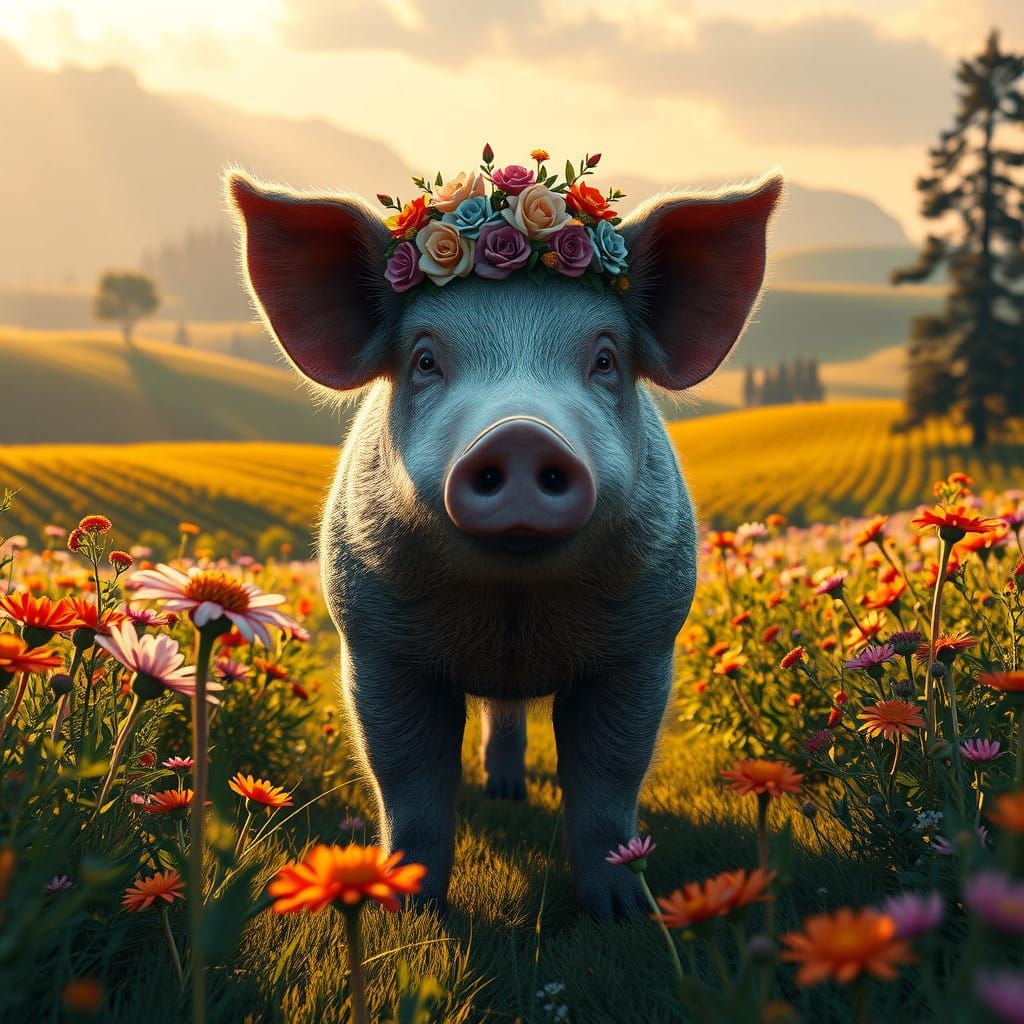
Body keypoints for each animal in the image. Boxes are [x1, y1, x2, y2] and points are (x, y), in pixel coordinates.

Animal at [227, 169, 782, 918]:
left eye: (605, 358)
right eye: (425, 359)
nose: (520, 432)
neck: (511, 607)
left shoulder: (645, 642)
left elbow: (610, 779)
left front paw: (624, 914)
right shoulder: (373, 642)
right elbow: (408, 782)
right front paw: (407, 910)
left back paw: (512, 794)